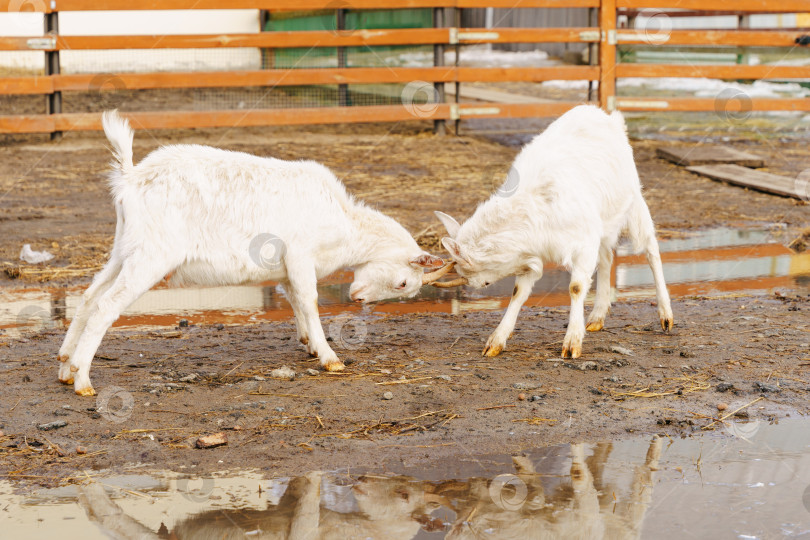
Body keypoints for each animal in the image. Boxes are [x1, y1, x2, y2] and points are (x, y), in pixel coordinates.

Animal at [57, 110, 452, 396]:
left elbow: (294, 301)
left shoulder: (287, 268)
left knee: (89, 297)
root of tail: (131, 178)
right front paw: (330, 357)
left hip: (125, 249)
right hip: (151, 257)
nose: (357, 298)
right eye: (403, 284)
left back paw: (66, 367)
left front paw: (309, 344)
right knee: (106, 306)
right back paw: (84, 382)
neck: (342, 221)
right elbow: (309, 301)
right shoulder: (301, 255)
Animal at [432, 104, 672, 358]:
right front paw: (496, 341)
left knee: (651, 250)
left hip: (633, 202)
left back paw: (665, 315)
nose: (473, 286)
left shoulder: (583, 241)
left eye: (468, 274)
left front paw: (572, 343)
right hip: (604, 223)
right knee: (607, 257)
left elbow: (576, 287)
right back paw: (597, 317)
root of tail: (607, 116)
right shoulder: (532, 254)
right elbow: (518, 291)